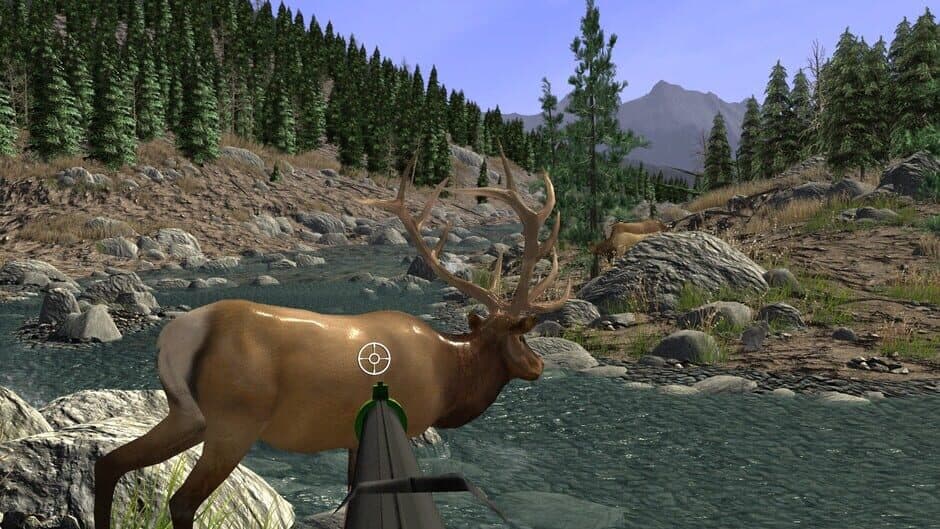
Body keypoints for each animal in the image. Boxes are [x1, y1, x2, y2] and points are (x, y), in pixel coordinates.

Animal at [93, 152, 571, 529]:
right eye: (521, 333)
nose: (539, 366)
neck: (449, 378)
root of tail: (177, 336)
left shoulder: (354, 436)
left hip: (188, 416)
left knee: (109, 462)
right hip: (233, 421)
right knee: (181, 502)